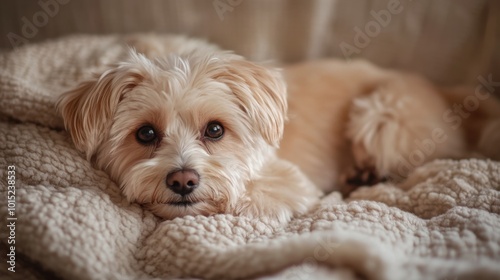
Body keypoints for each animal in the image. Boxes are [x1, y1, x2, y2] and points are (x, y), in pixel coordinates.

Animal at [57, 35, 500, 223]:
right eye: (145, 134)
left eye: (215, 130)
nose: (183, 181)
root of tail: (443, 90)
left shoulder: (290, 184)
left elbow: (245, 198)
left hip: (382, 115)